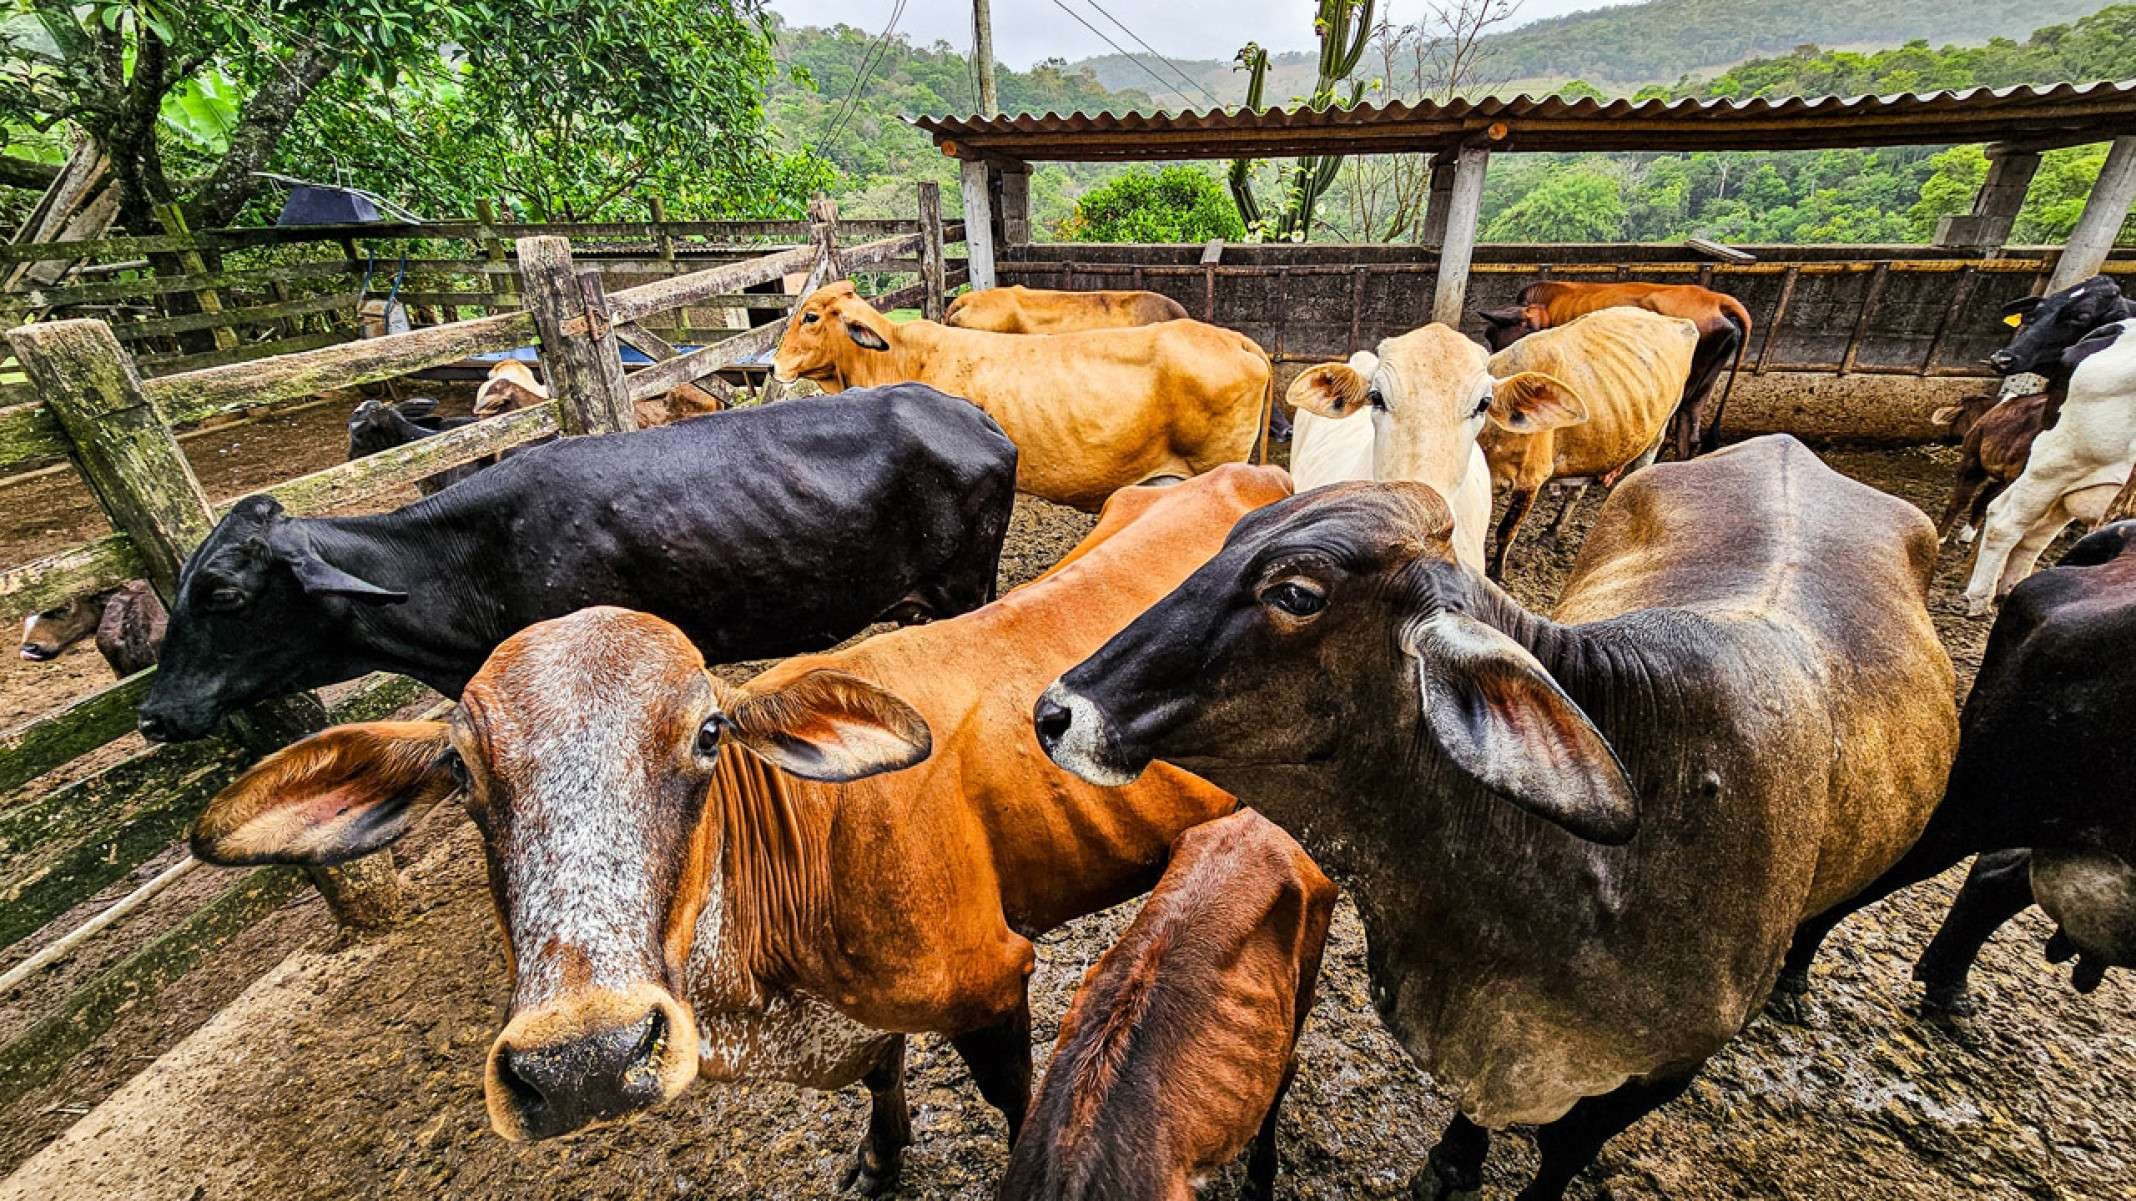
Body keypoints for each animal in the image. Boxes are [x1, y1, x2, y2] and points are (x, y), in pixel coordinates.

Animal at [183, 464, 1288, 1192]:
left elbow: (1012, 1106)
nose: (581, 1060)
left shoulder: (989, 982)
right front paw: (880, 1158)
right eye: (461, 767)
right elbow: (883, 1072)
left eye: (709, 731)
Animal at [1474, 307, 1699, 578]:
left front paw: (1496, 574)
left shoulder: (1531, 479)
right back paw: (1552, 532)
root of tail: (1677, 321)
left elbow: (1506, 532)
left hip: (1657, 434)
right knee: (1576, 491)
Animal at [1928, 390, 2049, 545]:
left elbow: (1960, 501)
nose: (1942, 439)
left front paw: (1940, 535)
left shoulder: (1973, 461)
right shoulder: (2002, 479)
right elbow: (1983, 500)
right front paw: (1967, 534)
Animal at [1963, 278, 2136, 616]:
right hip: (2062, 461)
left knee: (2034, 534)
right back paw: (1980, 599)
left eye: (2080, 316)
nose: (2003, 358)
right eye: (2034, 313)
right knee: (2005, 519)